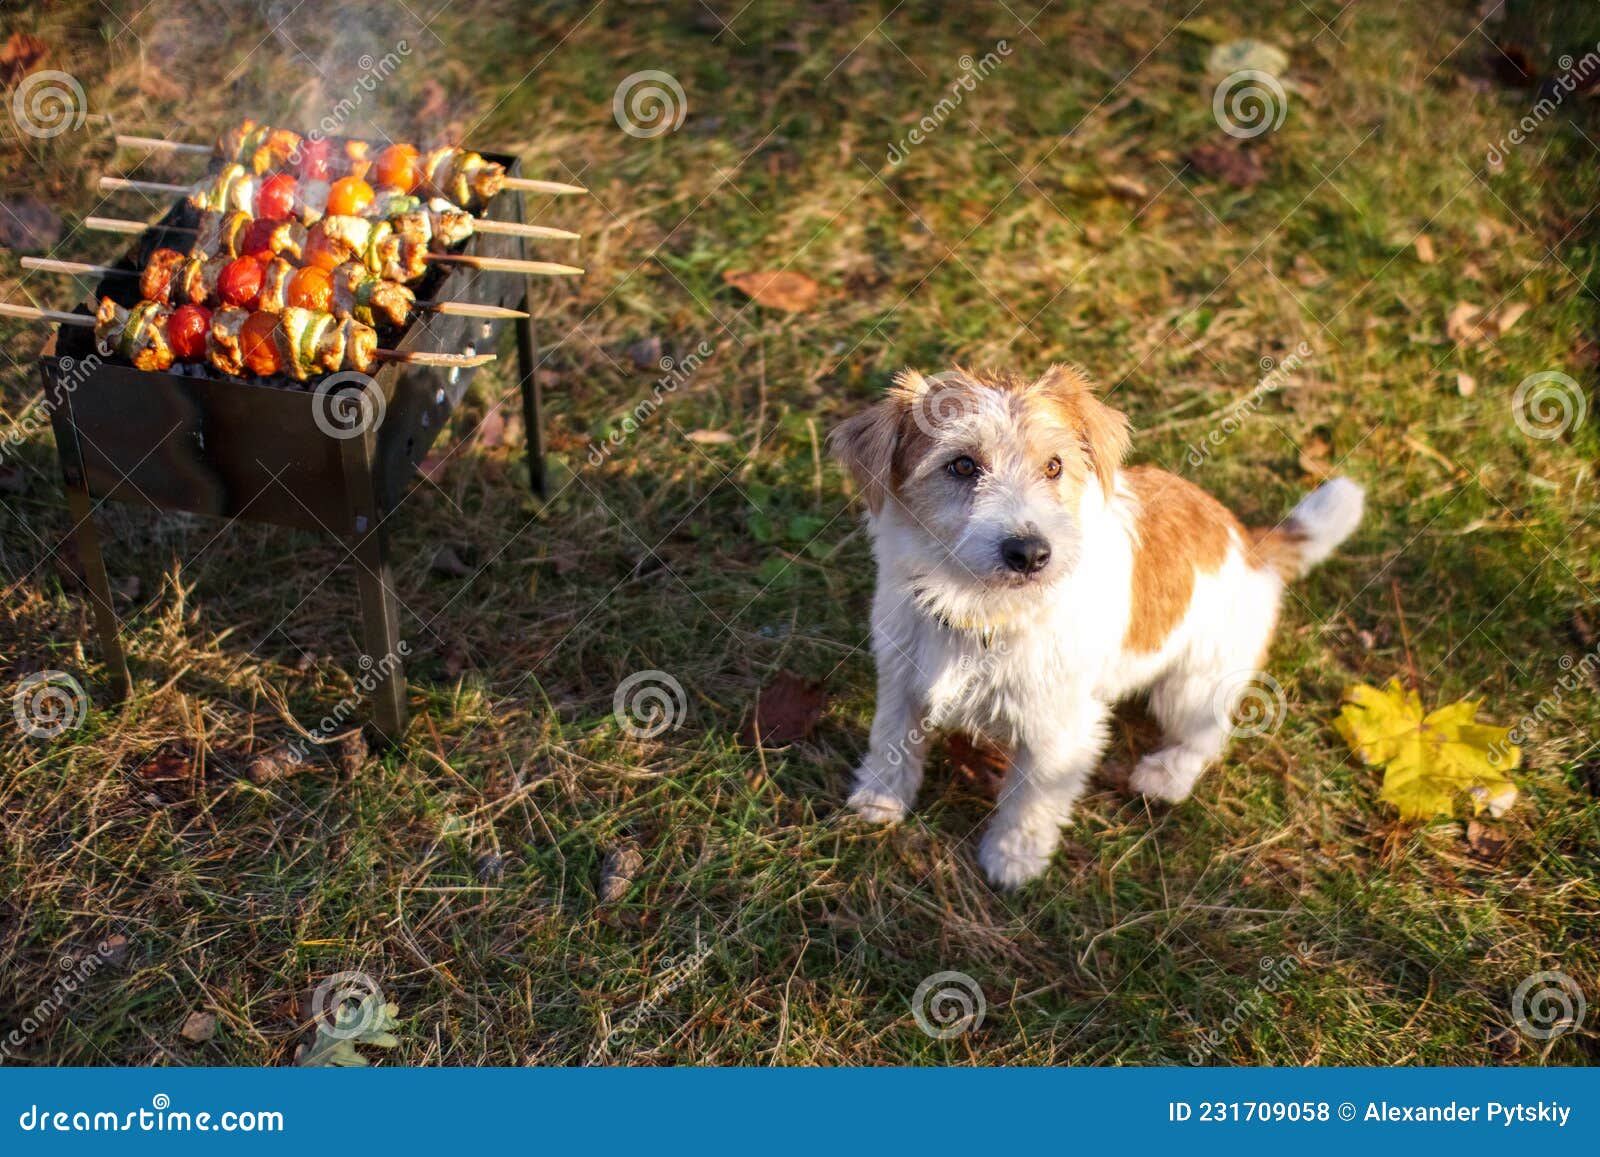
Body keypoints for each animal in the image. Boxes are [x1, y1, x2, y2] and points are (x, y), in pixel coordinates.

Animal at [825, 366, 1363, 889]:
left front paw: (1013, 857)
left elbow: (1033, 797)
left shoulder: (1061, 728)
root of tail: (1250, 544)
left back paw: (1166, 775)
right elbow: (891, 736)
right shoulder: (900, 675)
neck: (983, 608)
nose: (1031, 554)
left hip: (1194, 685)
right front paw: (880, 797)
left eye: (1054, 466)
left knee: (1207, 734)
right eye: (962, 465)